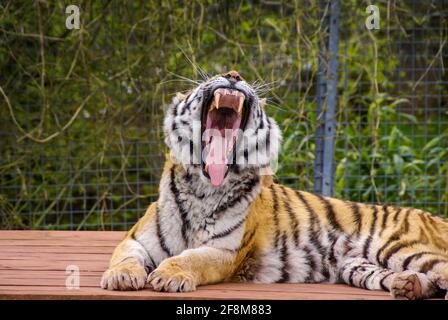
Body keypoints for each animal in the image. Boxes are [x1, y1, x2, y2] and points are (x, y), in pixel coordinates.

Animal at [100, 70, 448, 300]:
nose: (233, 74)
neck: (203, 188)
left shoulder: (224, 251)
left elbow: (190, 258)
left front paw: (169, 275)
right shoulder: (137, 239)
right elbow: (124, 256)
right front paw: (120, 276)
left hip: (399, 247)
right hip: (359, 266)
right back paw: (410, 286)